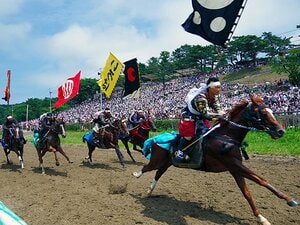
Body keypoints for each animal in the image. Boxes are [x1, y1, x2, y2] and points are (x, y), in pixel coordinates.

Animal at [132, 95, 298, 225]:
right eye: (263, 112)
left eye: (271, 111)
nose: (280, 131)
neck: (226, 137)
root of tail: (155, 139)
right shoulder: (233, 164)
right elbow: (261, 180)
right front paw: (289, 199)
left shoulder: (235, 168)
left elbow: (247, 192)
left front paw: (261, 217)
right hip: (158, 160)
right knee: (147, 168)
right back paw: (136, 175)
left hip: (167, 162)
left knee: (158, 173)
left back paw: (149, 190)